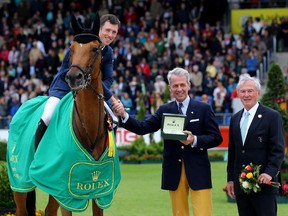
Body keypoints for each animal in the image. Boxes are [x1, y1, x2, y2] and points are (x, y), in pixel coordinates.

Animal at [6, 13, 120, 216]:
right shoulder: (67, 193)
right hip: (20, 180)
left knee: (49, 210)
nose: (74, 77)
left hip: (52, 186)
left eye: (95, 49)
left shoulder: (100, 190)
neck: (89, 130)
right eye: (71, 48)